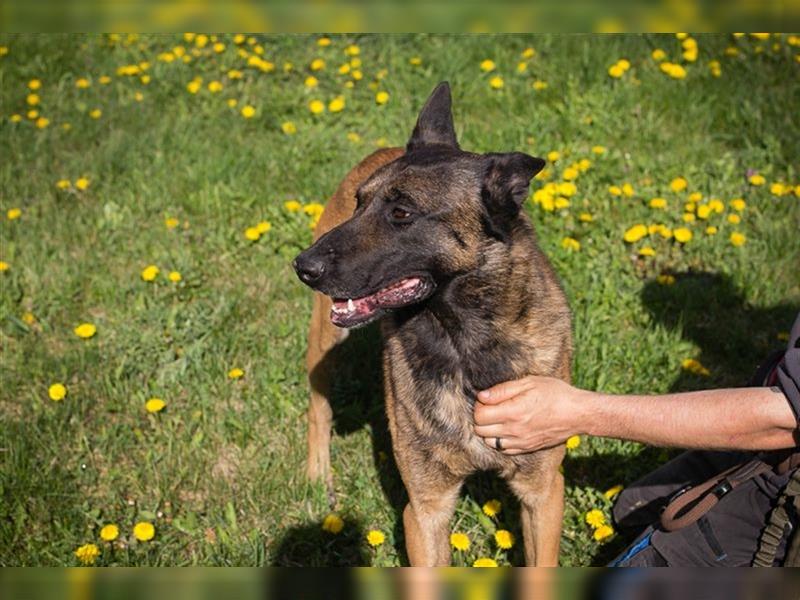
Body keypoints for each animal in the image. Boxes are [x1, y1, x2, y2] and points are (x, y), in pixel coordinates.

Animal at [292, 82, 568, 564]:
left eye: (402, 213)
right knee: (318, 410)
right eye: (360, 204)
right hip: (325, 343)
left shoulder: (543, 493)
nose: (302, 266)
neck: (464, 343)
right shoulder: (425, 509)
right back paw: (317, 476)